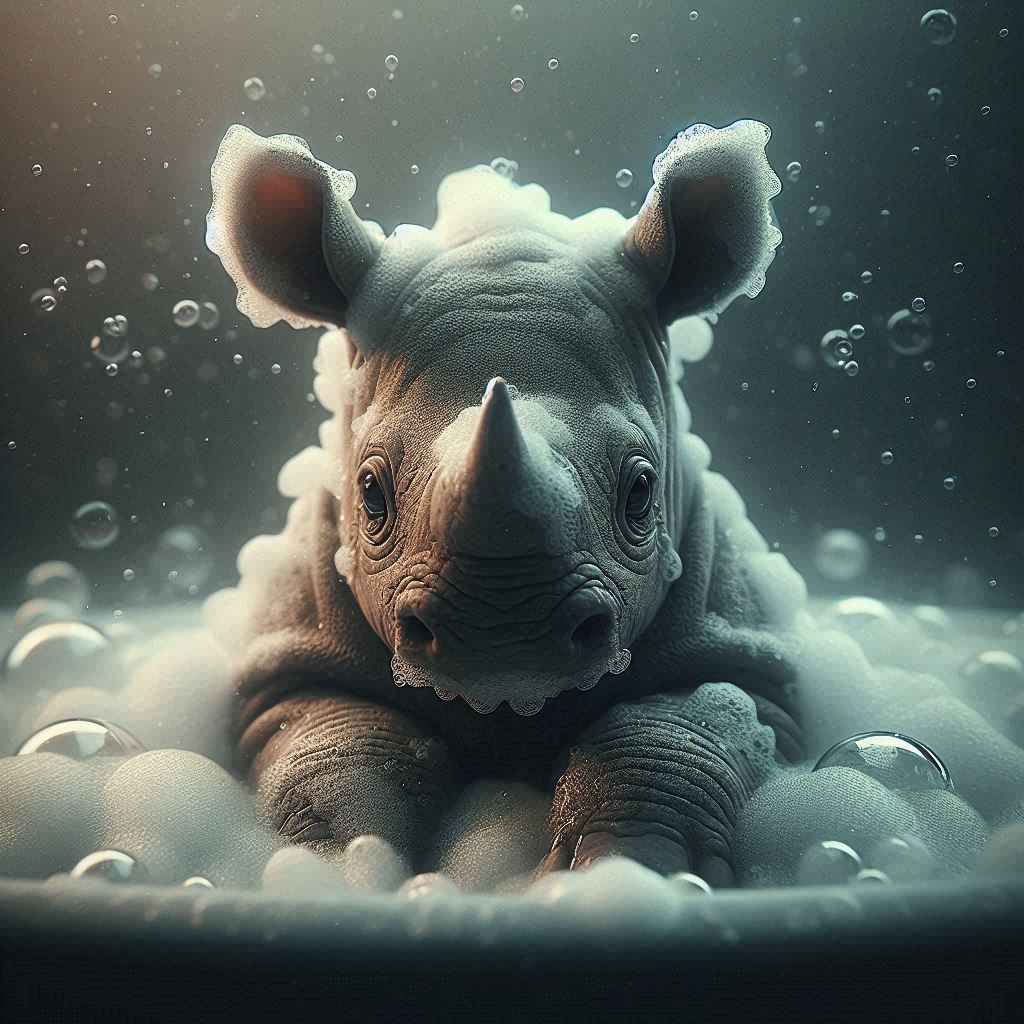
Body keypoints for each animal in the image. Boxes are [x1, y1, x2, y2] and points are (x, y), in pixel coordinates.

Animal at [204, 119, 807, 885]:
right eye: (368, 495)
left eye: (642, 492)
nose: (504, 639)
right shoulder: (287, 658)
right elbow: (341, 749)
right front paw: (345, 867)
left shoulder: (742, 652)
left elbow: (672, 733)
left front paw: (633, 866)